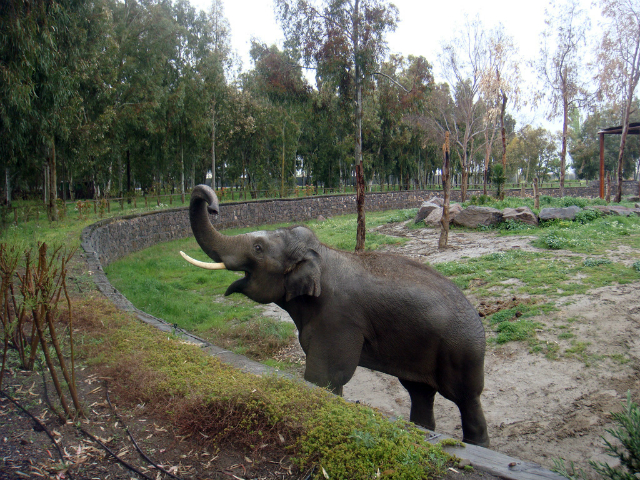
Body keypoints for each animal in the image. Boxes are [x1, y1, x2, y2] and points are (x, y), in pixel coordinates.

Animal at [180, 184, 490, 446]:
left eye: (257, 248)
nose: (213, 207)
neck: (322, 254)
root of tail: (476, 313)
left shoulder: (339, 320)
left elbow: (323, 377)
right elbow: (330, 381)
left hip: (461, 352)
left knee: (466, 399)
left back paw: (477, 444)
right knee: (420, 391)